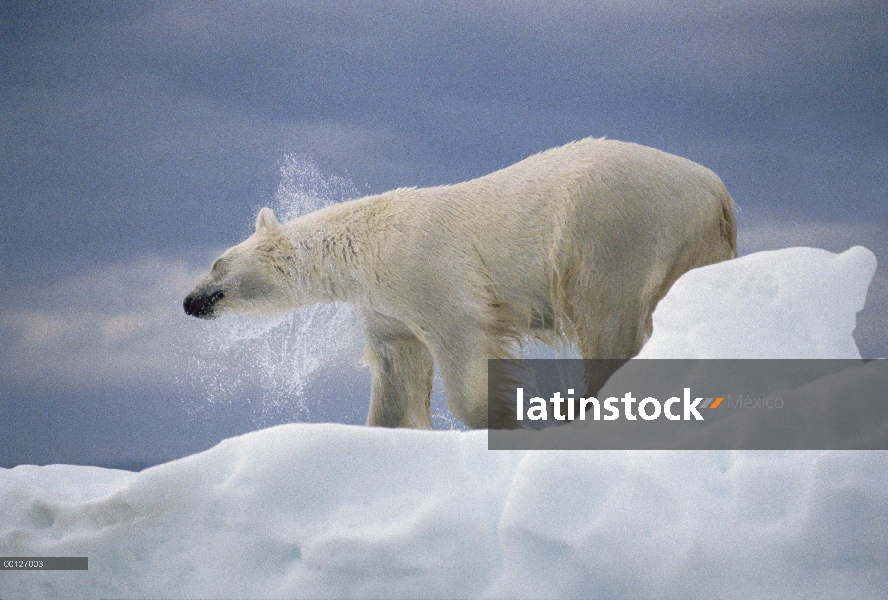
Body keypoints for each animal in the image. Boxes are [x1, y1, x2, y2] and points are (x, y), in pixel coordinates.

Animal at [182, 139, 736, 432]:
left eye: (215, 263)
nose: (189, 302)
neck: (368, 242)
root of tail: (716, 192)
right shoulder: (386, 307)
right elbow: (396, 368)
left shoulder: (429, 269)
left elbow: (462, 344)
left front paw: (507, 416)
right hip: (692, 243)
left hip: (612, 228)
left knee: (607, 318)